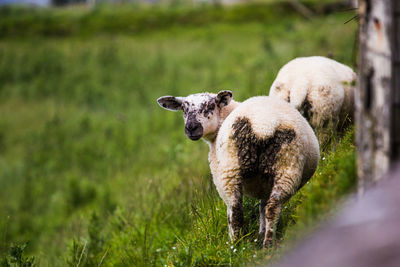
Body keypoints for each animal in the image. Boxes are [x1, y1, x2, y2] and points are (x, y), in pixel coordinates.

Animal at [156, 91, 318, 248]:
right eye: (184, 109)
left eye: (210, 106)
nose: (191, 128)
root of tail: (263, 125)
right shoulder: (265, 185)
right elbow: (262, 207)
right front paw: (261, 233)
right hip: (287, 167)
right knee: (272, 207)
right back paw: (267, 243)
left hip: (230, 170)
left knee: (235, 211)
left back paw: (234, 245)